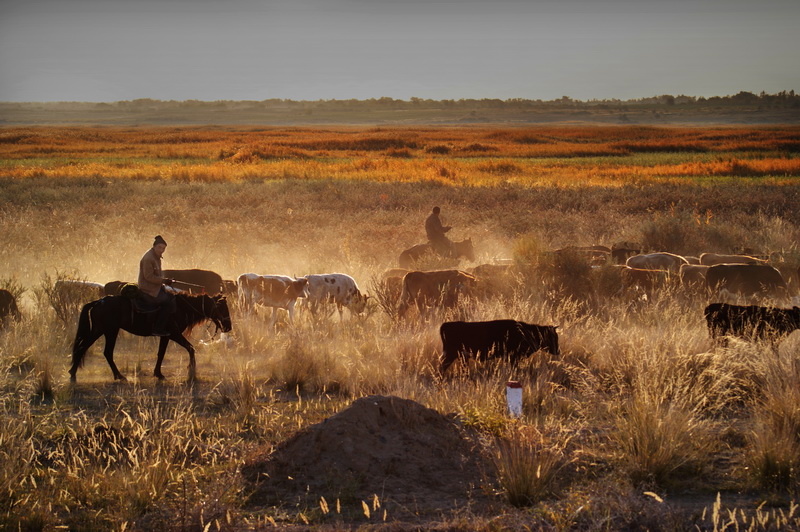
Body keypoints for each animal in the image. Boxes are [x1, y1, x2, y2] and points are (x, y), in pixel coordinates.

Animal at [69, 290, 233, 382]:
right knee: (100, 351)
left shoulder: (165, 336)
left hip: (102, 330)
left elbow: (161, 353)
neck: (182, 307)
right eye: (222, 308)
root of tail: (98, 302)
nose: (228, 326)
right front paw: (191, 370)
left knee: (90, 349)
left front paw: (158, 373)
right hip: (109, 331)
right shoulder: (174, 334)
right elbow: (190, 348)